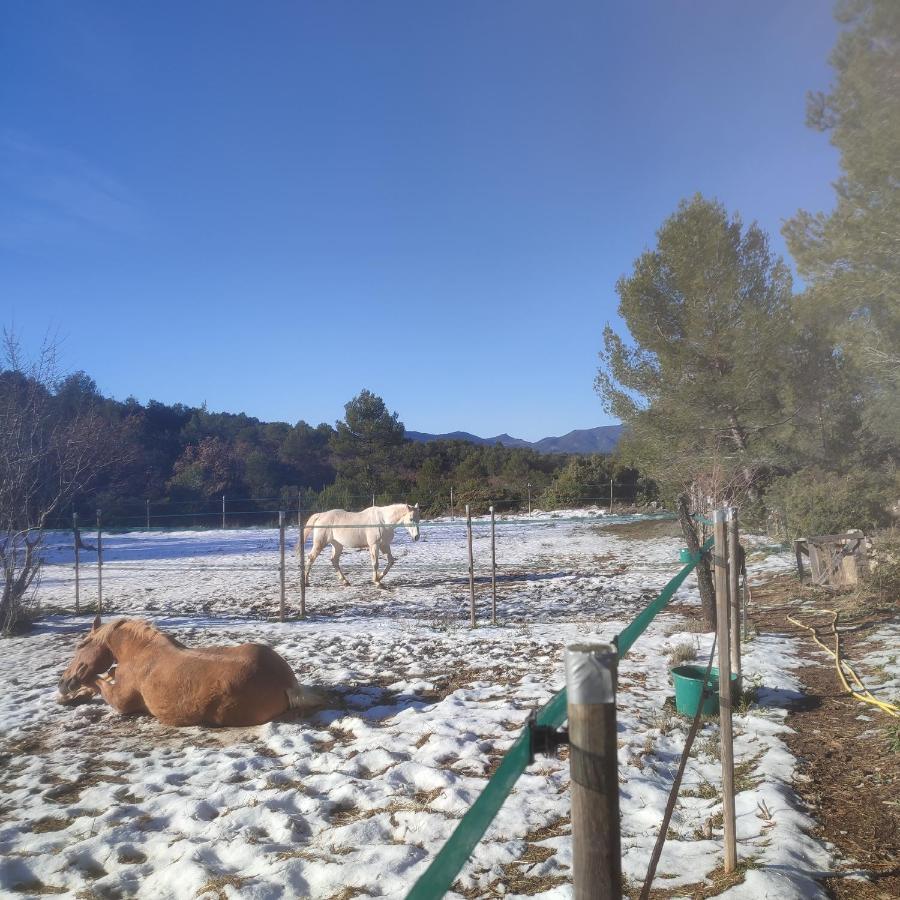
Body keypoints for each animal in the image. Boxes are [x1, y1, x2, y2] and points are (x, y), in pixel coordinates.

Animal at [59, 616, 322, 728]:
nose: (62, 683)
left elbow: (96, 680)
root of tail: (287, 682)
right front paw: (70, 697)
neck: (139, 652)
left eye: (81, 645)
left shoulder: (121, 703)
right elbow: (105, 676)